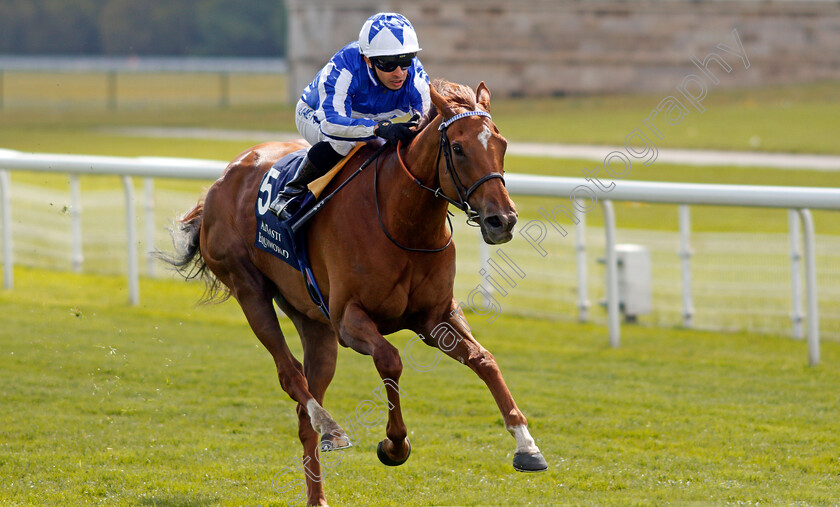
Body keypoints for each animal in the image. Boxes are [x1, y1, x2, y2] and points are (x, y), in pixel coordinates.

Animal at [166, 79, 544, 504]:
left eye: (501, 143)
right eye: (459, 148)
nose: (502, 220)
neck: (402, 222)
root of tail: (221, 181)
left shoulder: (437, 316)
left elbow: (485, 360)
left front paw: (527, 446)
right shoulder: (349, 320)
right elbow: (390, 359)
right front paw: (394, 445)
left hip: (314, 323)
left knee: (304, 410)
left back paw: (317, 494)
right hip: (249, 289)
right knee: (291, 377)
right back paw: (330, 426)